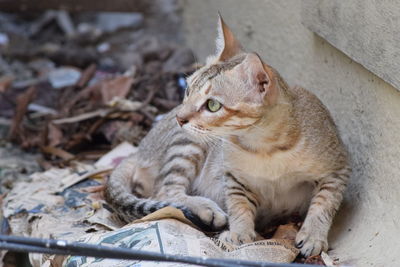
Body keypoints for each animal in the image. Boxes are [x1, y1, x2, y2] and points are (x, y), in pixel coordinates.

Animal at [105, 16, 350, 258]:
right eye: (188, 90)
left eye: (212, 105)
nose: (179, 118)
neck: (265, 148)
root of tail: (139, 148)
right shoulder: (232, 176)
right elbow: (238, 204)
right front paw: (239, 233)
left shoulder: (337, 169)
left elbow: (324, 203)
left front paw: (313, 235)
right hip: (190, 144)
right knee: (165, 190)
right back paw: (206, 208)